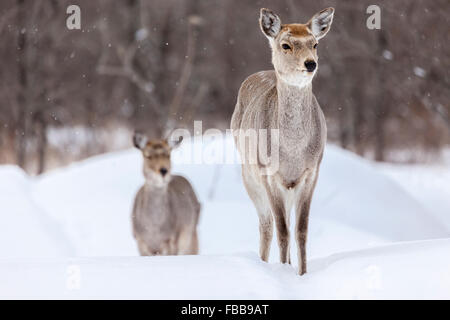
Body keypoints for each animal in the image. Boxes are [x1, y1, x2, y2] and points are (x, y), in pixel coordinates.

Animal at [232, 7, 334, 274]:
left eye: (315, 43)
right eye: (286, 45)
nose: (311, 63)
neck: (293, 151)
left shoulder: (311, 172)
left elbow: (301, 230)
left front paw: (302, 273)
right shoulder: (269, 173)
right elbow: (282, 231)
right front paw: (284, 273)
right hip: (249, 174)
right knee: (266, 224)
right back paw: (264, 262)